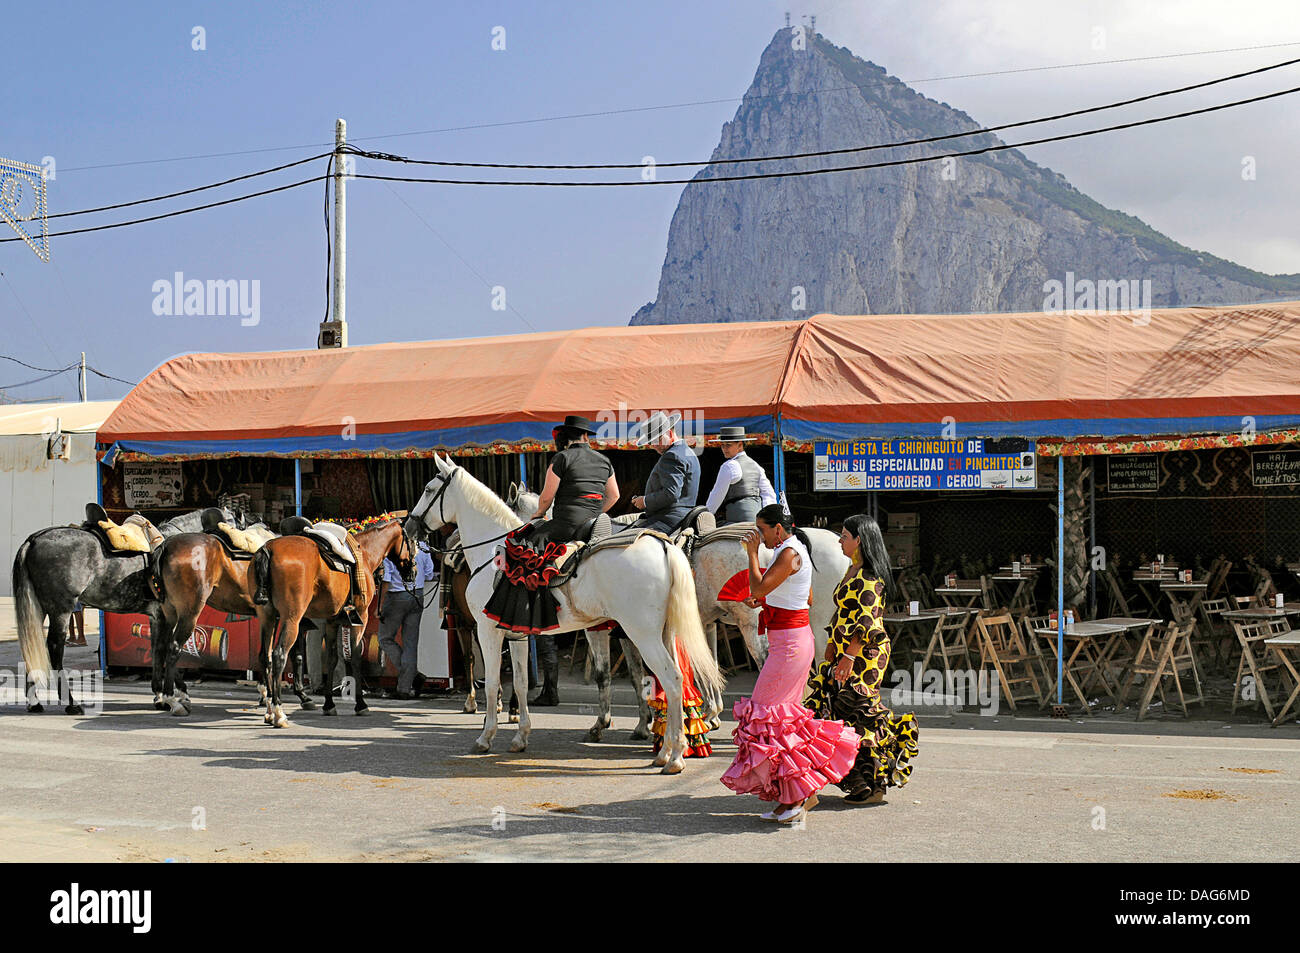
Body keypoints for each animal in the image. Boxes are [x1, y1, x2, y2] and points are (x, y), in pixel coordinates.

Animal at [250, 525, 413, 722]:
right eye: (413, 541)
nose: (413, 572)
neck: (364, 552)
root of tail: (268, 549)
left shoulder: (332, 621)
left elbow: (332, 659)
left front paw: (329, 703)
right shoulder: (360, 618)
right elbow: (354, 657)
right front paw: (360, 703)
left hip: (268, 618)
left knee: (265, 657)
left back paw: (268, 708)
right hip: (291, 619)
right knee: (279, 655)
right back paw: (278, 710)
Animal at [405, 452, 722, 774]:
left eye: (429, 490)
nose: (409, 528)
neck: (492, 554)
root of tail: (663, 545)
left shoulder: (487, 630)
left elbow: (493, 683)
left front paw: (485, 737)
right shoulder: (517, 636)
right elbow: (520, 683)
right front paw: (520, 737)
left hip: (642, 635)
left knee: (671, 680)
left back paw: (676, 756)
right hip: (665, 634)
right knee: (676, 682)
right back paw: (666, 751)